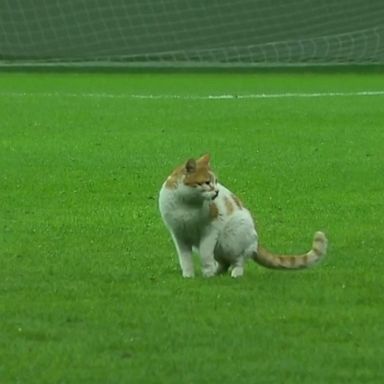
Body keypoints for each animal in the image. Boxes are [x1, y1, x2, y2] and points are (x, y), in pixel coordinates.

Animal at [158, 154, 326, 278]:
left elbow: (206, 254)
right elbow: (185, 258)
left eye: (216, 181)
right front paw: (188, 275)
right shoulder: (178, 234)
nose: (217, 191)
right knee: (224, 263)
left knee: (239, 259)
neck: (186, 205)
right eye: (206, 182)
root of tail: (256, 241)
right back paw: (218, 272)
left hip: (232, 237)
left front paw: (207, 273)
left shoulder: (210, 230)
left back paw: (235, 273)